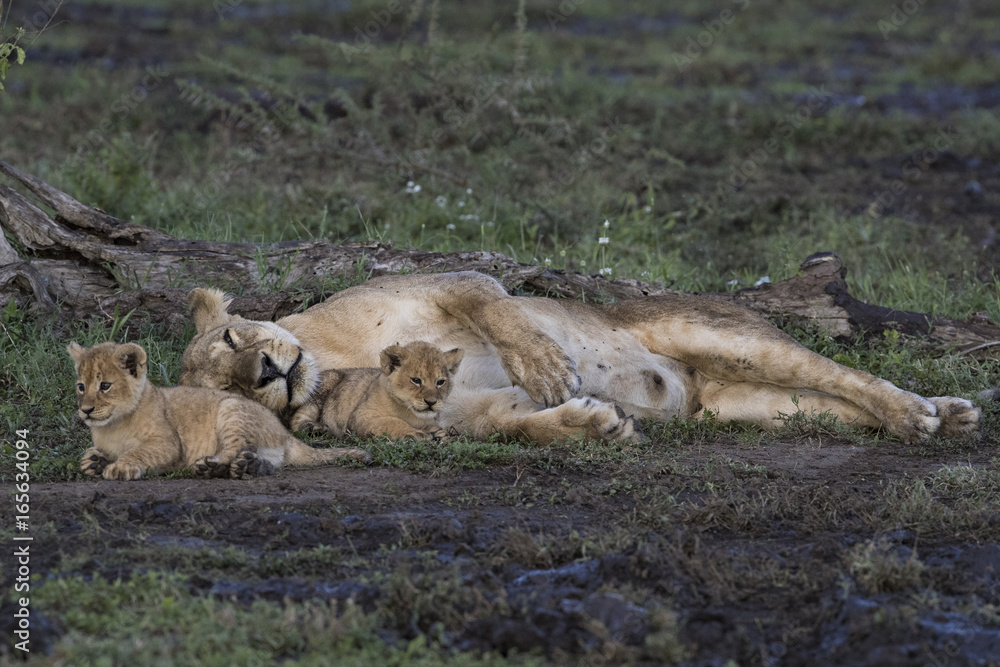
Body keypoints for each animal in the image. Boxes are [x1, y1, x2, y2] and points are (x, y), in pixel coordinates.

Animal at [69, 341, 369, 481]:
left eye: (105, 385)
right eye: (81, 386)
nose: (86, 411)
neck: (112, 426)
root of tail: (285, 433)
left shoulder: (168, 444)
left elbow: (139, 452)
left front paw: (120, 467)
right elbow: (94, 455)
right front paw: (93, 461)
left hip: (231, 407)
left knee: (235, 448)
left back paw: (210, 466)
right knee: (264, 461)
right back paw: (247, 466)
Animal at [289, 341, 464, 441]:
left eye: (440, 382)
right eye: (416, 380)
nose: (431, 402)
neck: (409, 412)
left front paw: (439, 434)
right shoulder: (360, 416)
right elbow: (390, 421)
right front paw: (415, 434)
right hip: (326, 383)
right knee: (295, 420)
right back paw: (315, 429)